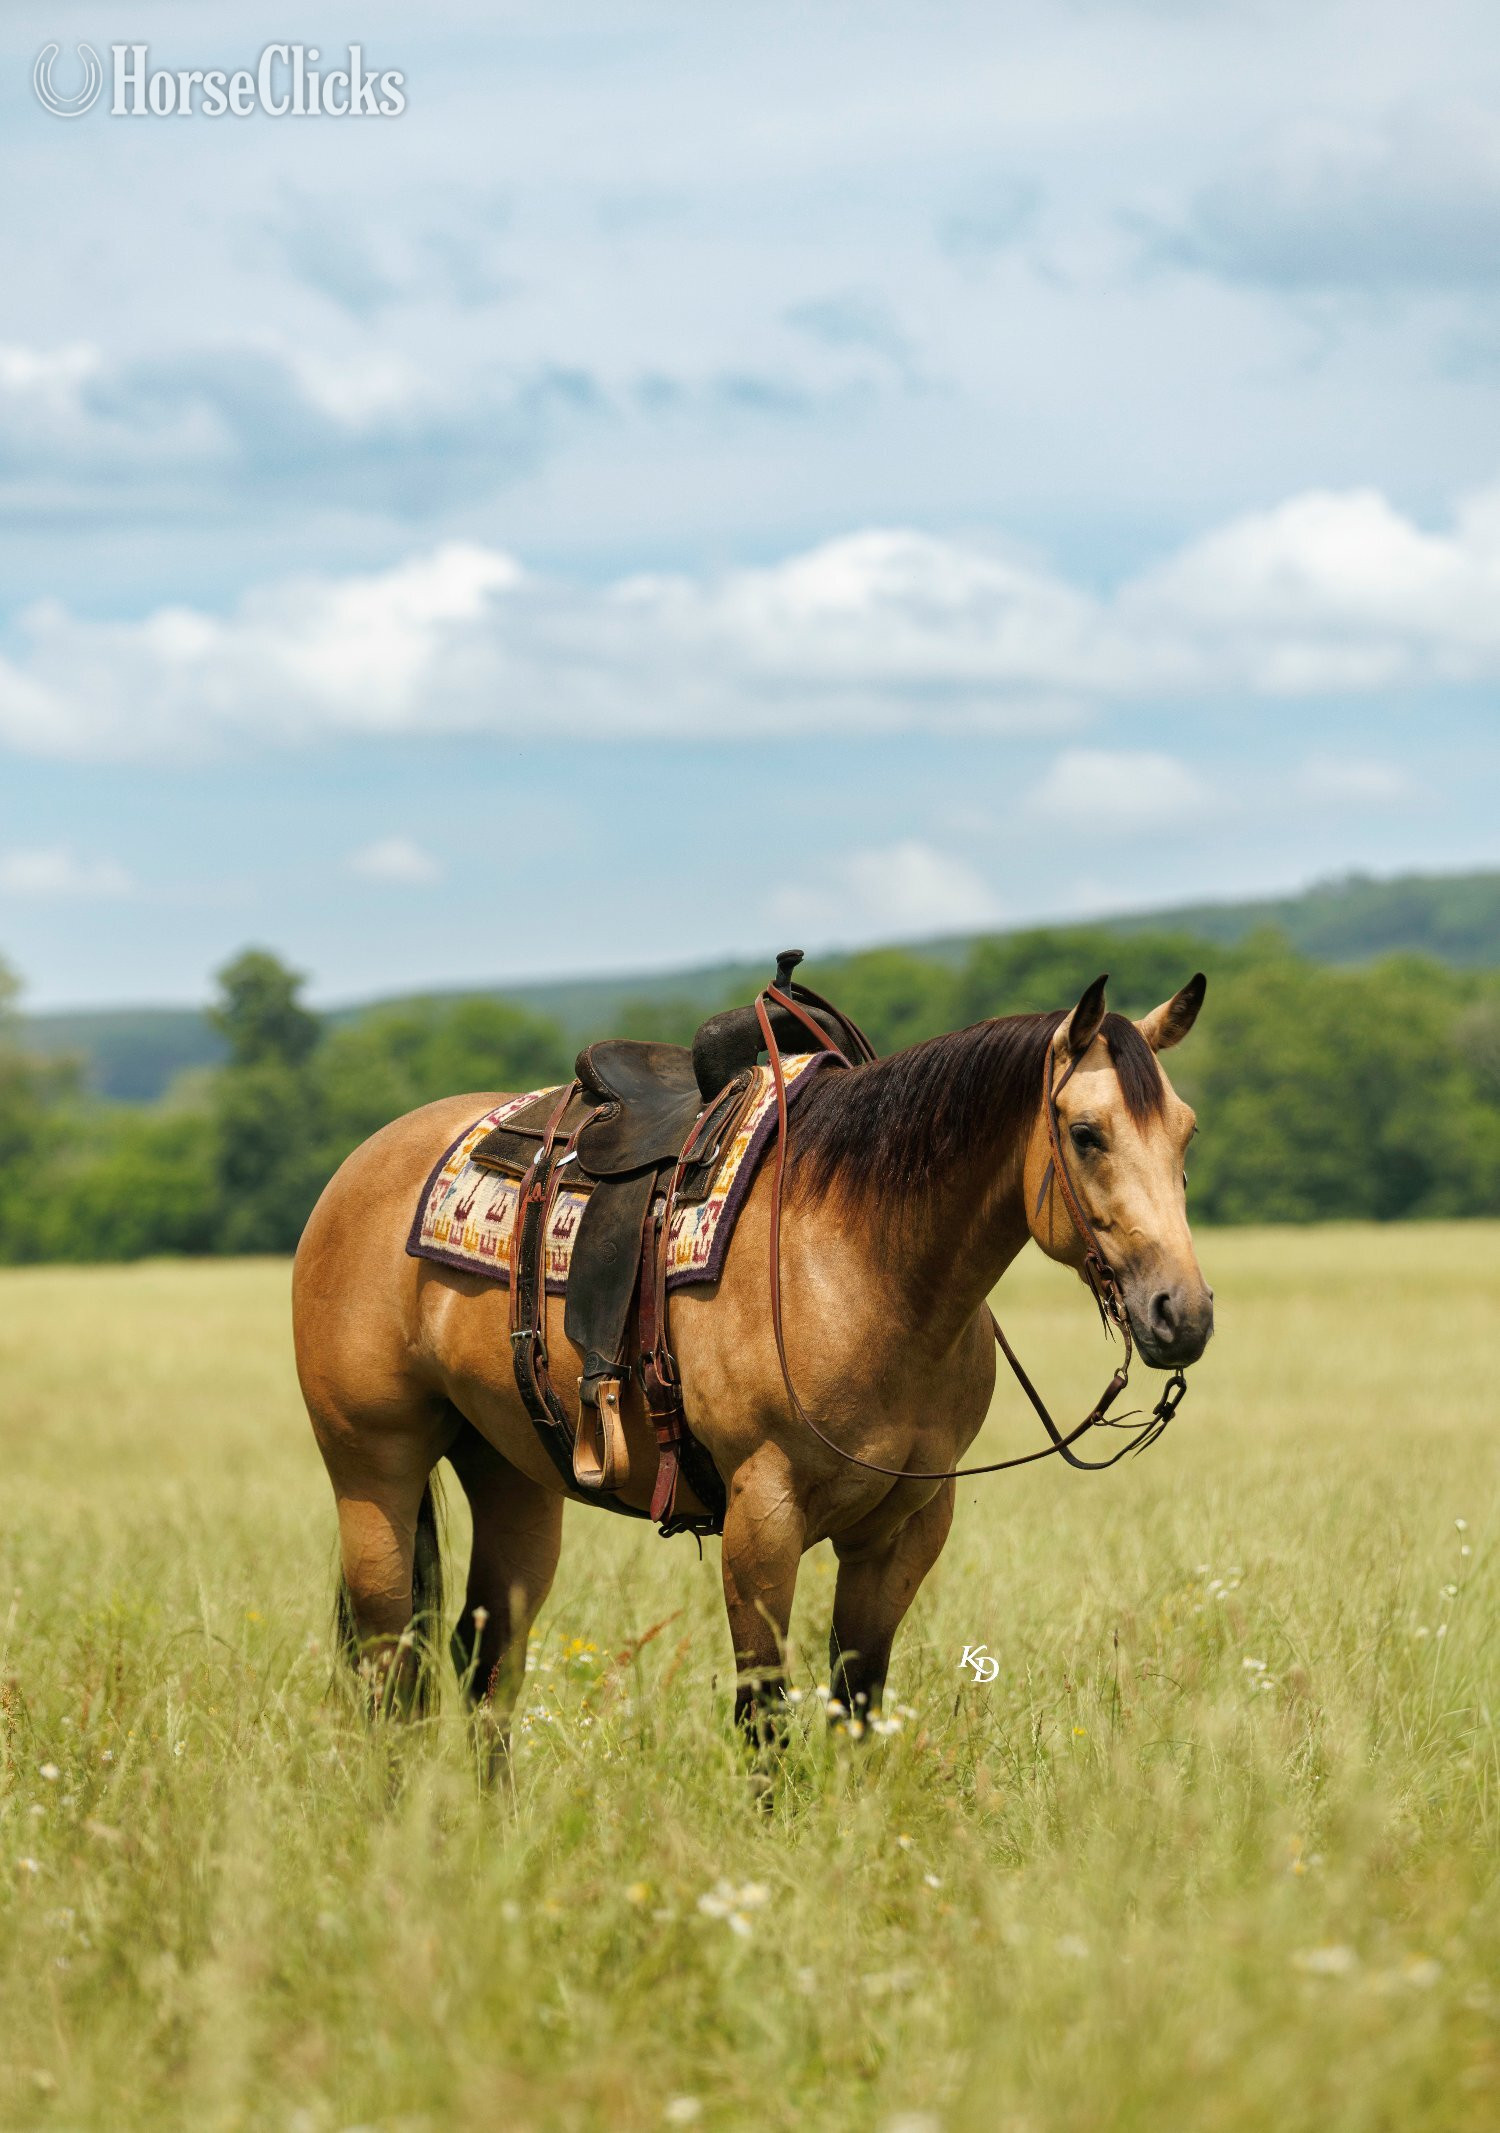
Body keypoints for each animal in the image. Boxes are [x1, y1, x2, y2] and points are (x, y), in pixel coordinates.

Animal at [291, 971, 1213, 1761]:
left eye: (1186, 1132)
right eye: (1087, 1134)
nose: (1184, 1312)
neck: (861, 1255)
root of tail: (357, 1170)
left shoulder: (907, 1524)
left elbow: (857, 1703)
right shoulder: (762, 1514)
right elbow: (764, 1713)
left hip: (512, 1477)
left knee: (484, 1665)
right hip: (373, 1473)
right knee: (388, 1666)